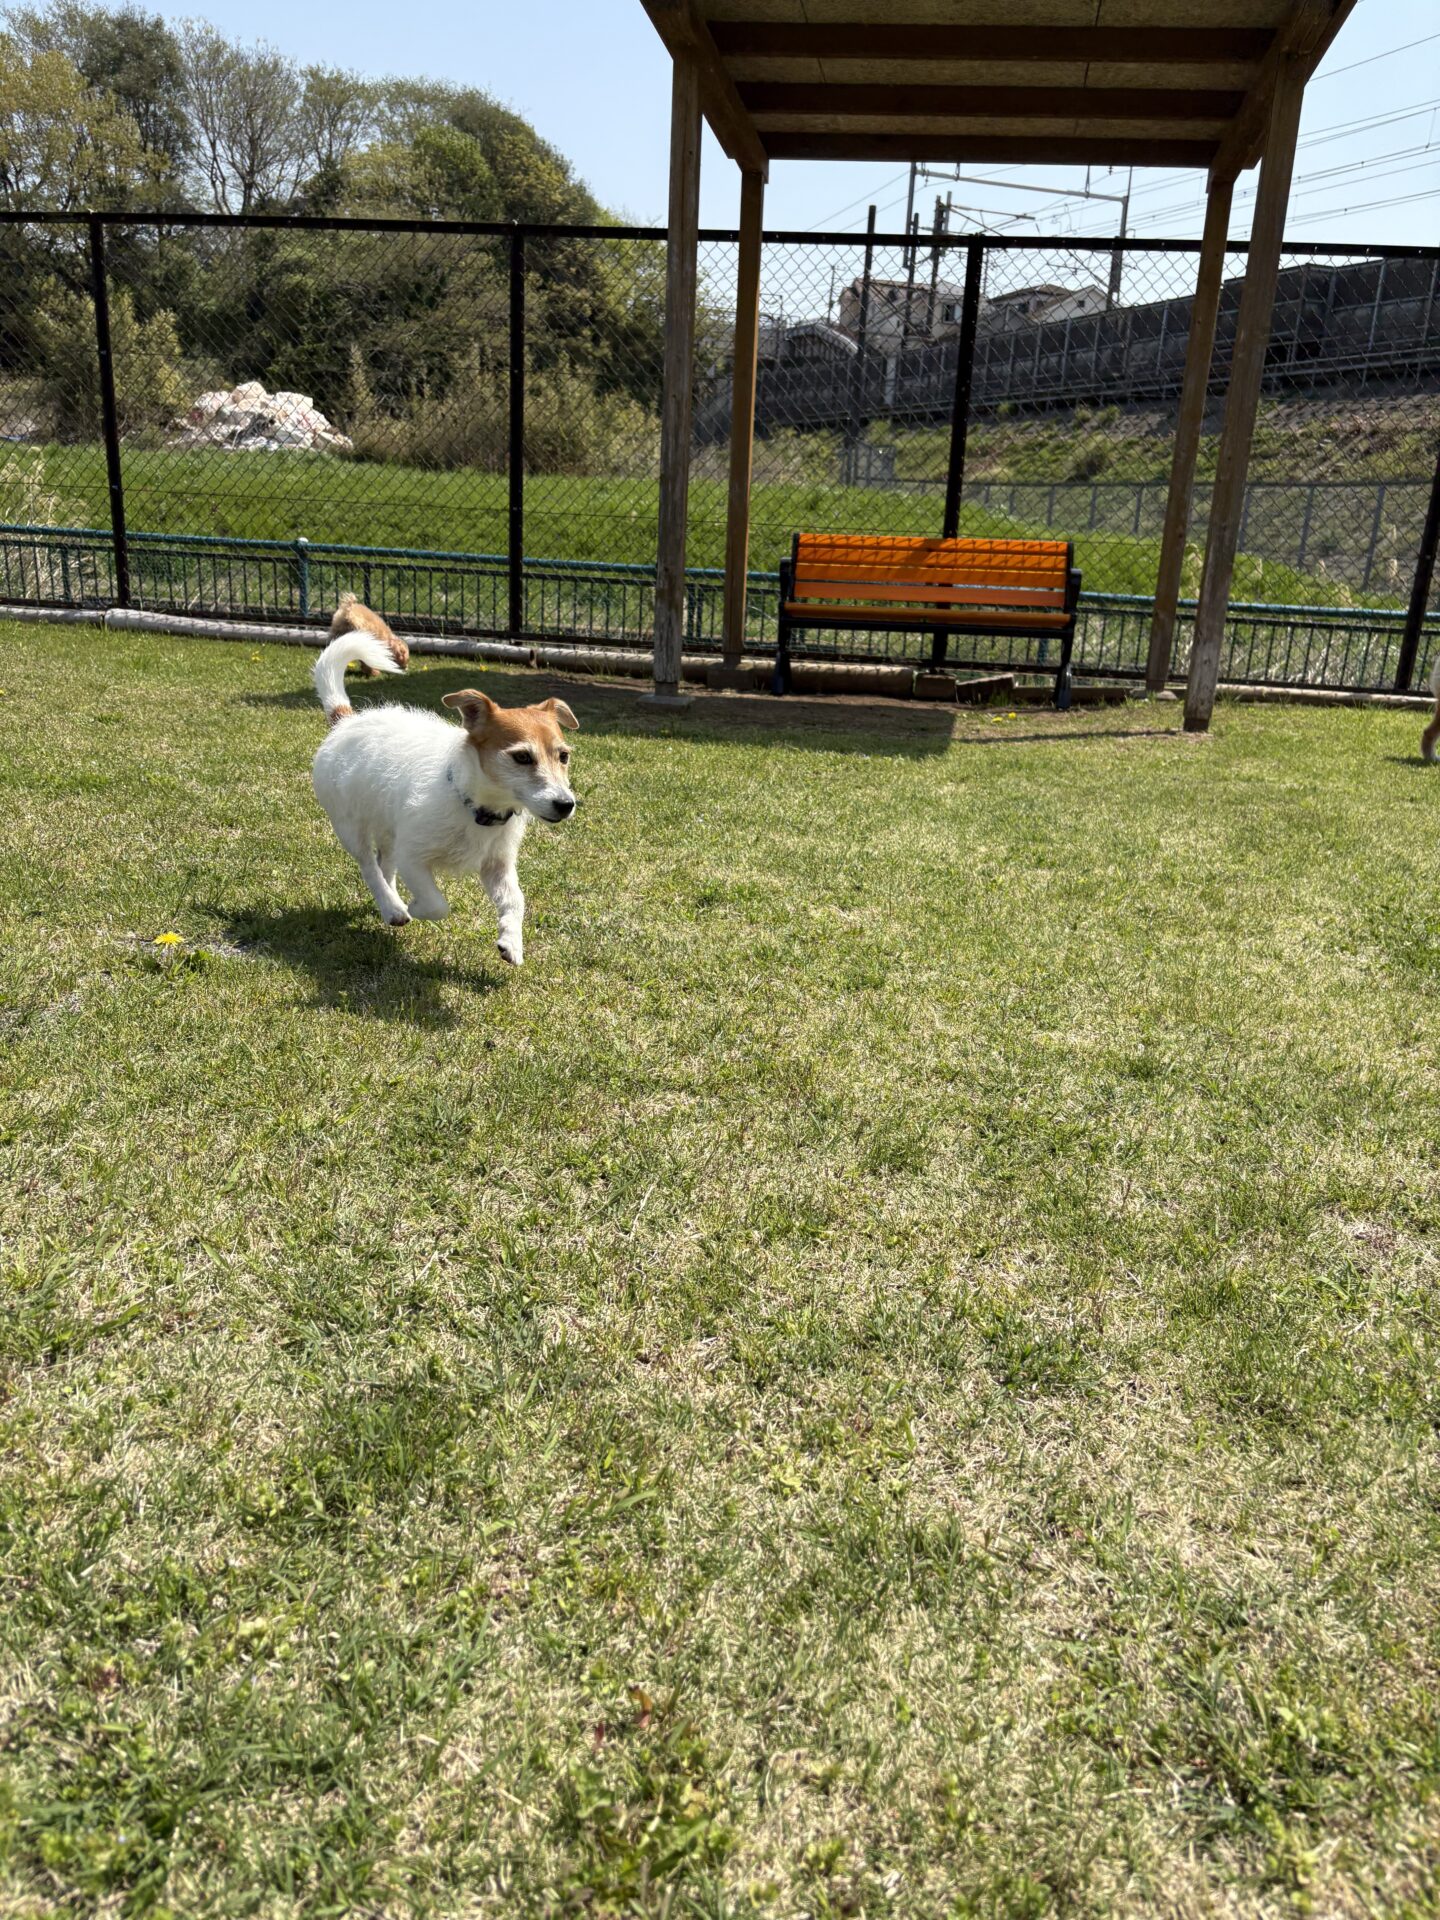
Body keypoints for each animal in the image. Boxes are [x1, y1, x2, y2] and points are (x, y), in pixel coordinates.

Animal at [308, 602, 578, 966]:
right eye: (522, 757)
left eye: (563, 756)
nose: (566, 805)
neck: (475, 806)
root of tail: (345, 720)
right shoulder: (414, 858)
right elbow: (437, 904)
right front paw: (414, 906)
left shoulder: (497, 865)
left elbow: (515, 900)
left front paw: (511, 941)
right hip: (350, 826)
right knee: (369, 867)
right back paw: (392, 907)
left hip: (391, 827)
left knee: (384, 863)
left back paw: (391, 899)